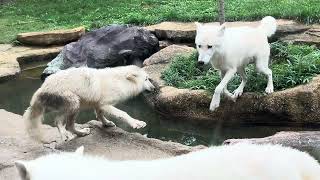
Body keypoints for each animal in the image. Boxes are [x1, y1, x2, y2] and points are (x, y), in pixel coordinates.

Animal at [22, 65, 155, 142]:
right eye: (146, 79)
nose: (154, 88)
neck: (120, 81)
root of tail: (41, 88)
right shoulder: (106, 103)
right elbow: (123, 113)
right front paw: (137, 124)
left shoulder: (99, 103)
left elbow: (100, 114)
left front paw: (107, 123)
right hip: (74, 102)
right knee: (63, 123)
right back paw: (73, 134)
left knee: (63, 123)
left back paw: (76, 134)